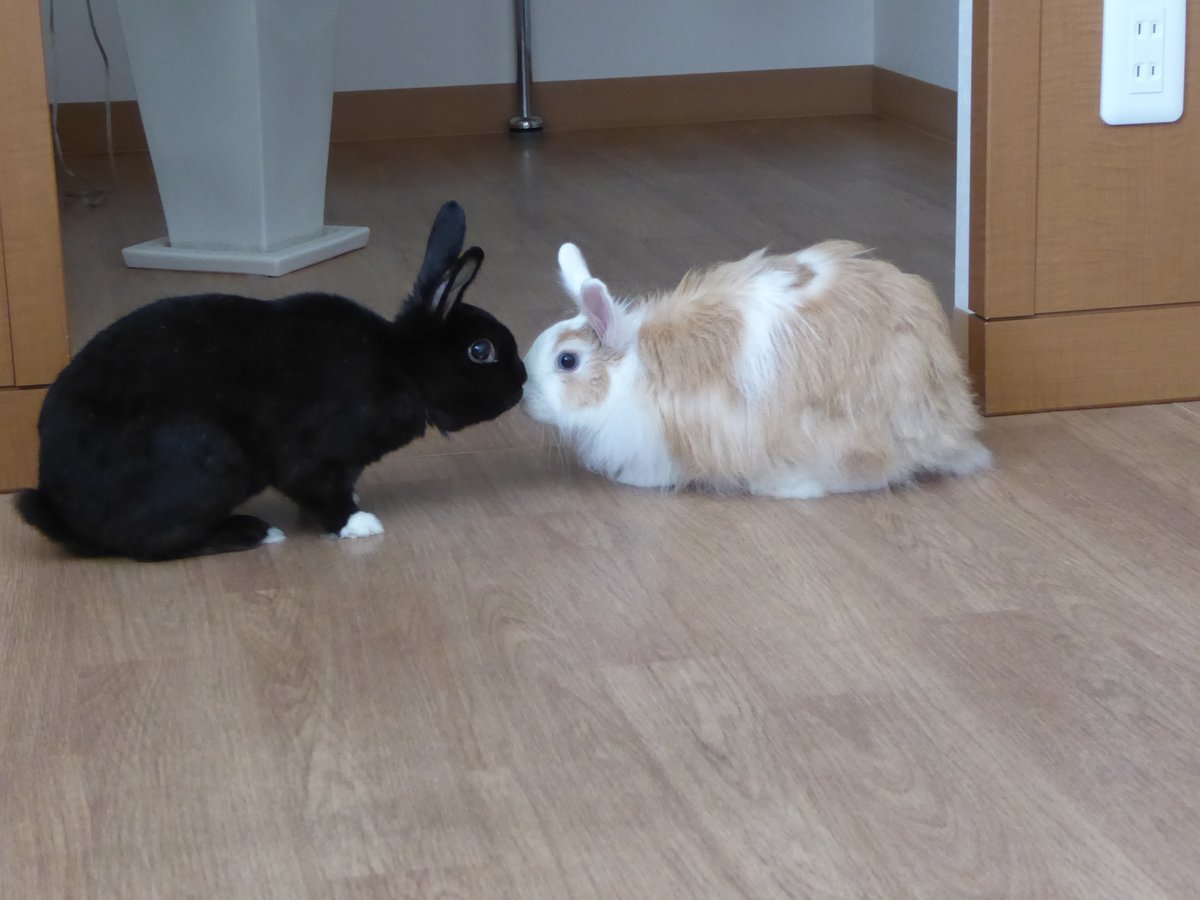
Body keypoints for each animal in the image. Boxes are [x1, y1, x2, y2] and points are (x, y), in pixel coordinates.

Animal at [16, 201, 526, 561]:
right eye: (481, 351)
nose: (522, 381)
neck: (402, 364)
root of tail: (66, 517)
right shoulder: (314, 461)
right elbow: (323, 495)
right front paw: (358, 524)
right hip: (208, 456)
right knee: (155, 545)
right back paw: (257, 532)